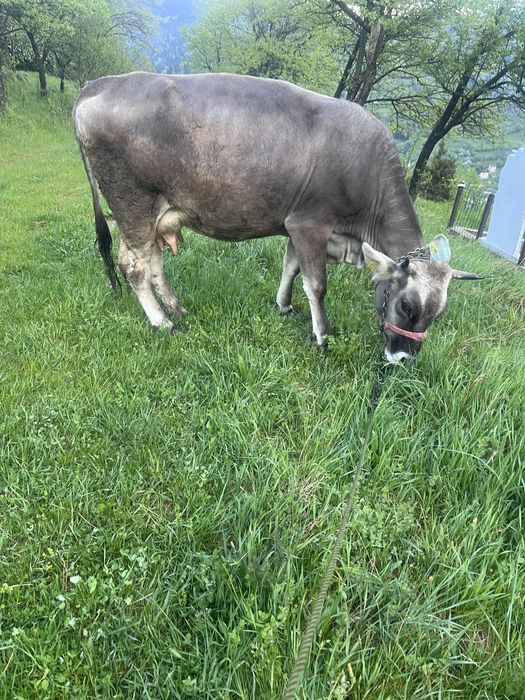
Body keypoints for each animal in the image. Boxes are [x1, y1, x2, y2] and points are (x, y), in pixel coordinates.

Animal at [73, 72, 482, 362]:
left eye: (439, 313)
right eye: (406, 305)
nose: (402, 358)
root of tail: (102, 83)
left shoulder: (294, 225)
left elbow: (291, 268)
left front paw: (283, 305)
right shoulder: (310, 224)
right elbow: (316, 283)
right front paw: (322, 335)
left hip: (154, 213)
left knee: (151, 262)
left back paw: (175, 307)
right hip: (133, 203)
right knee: (134, 267)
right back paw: (163, 322)